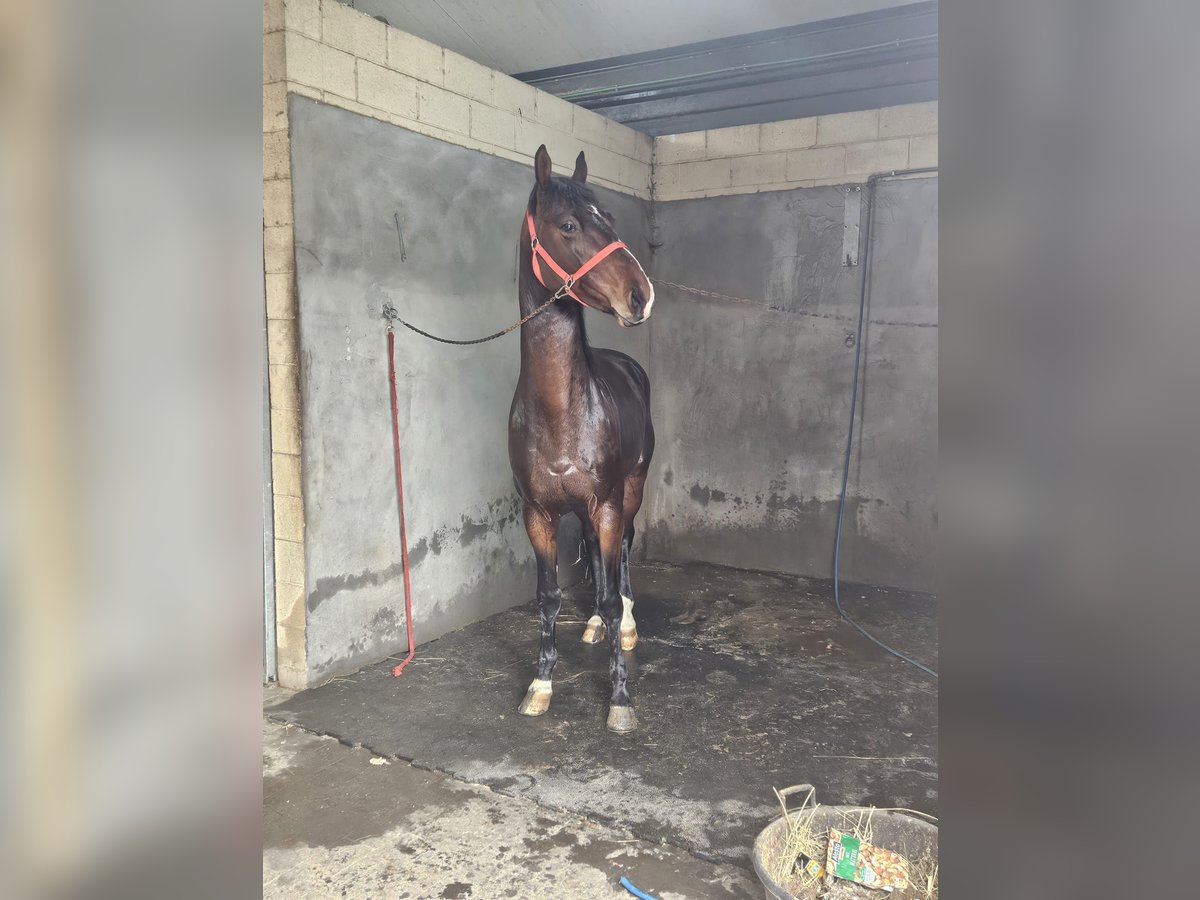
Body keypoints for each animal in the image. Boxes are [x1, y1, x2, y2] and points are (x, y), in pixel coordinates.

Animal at [508, 145, 656, 734]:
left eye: (609, 218)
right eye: (568, 225)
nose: (641, 295)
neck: (560, 412)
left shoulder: (609, 503)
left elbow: (614, 591)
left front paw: (620, 699)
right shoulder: (539, 513)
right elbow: (548, 597)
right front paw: (540, 686)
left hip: (630, 493)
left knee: (622, 557)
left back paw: (628, 627)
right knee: (596, 557)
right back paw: (592, 623)